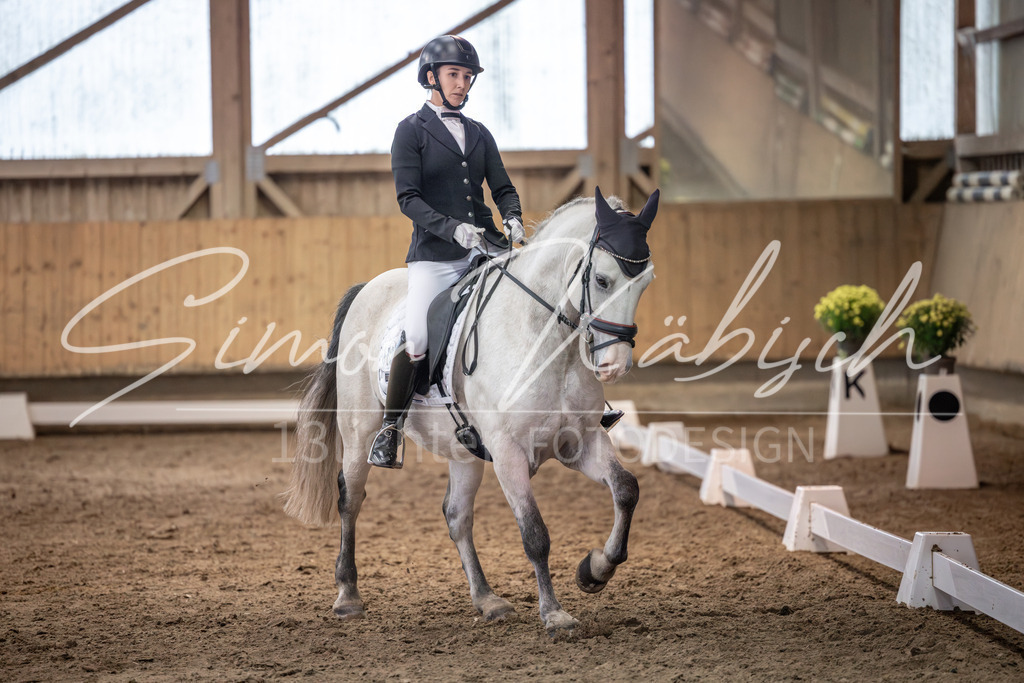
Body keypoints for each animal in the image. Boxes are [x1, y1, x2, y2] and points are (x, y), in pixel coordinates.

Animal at [282, 188, 659, 634]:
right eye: (602, 280)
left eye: (646, 281)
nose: (614, 365)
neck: (544, 340)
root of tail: (367, 288)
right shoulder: (509, 451)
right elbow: (535, 534)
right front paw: (554, 613)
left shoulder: (579, 442)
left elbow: (627, 489)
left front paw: (595, 570)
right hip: (360, 432)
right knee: (350, 498)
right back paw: (347, 595)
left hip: (464, 451)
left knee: (456, 515)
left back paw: (487, 599)